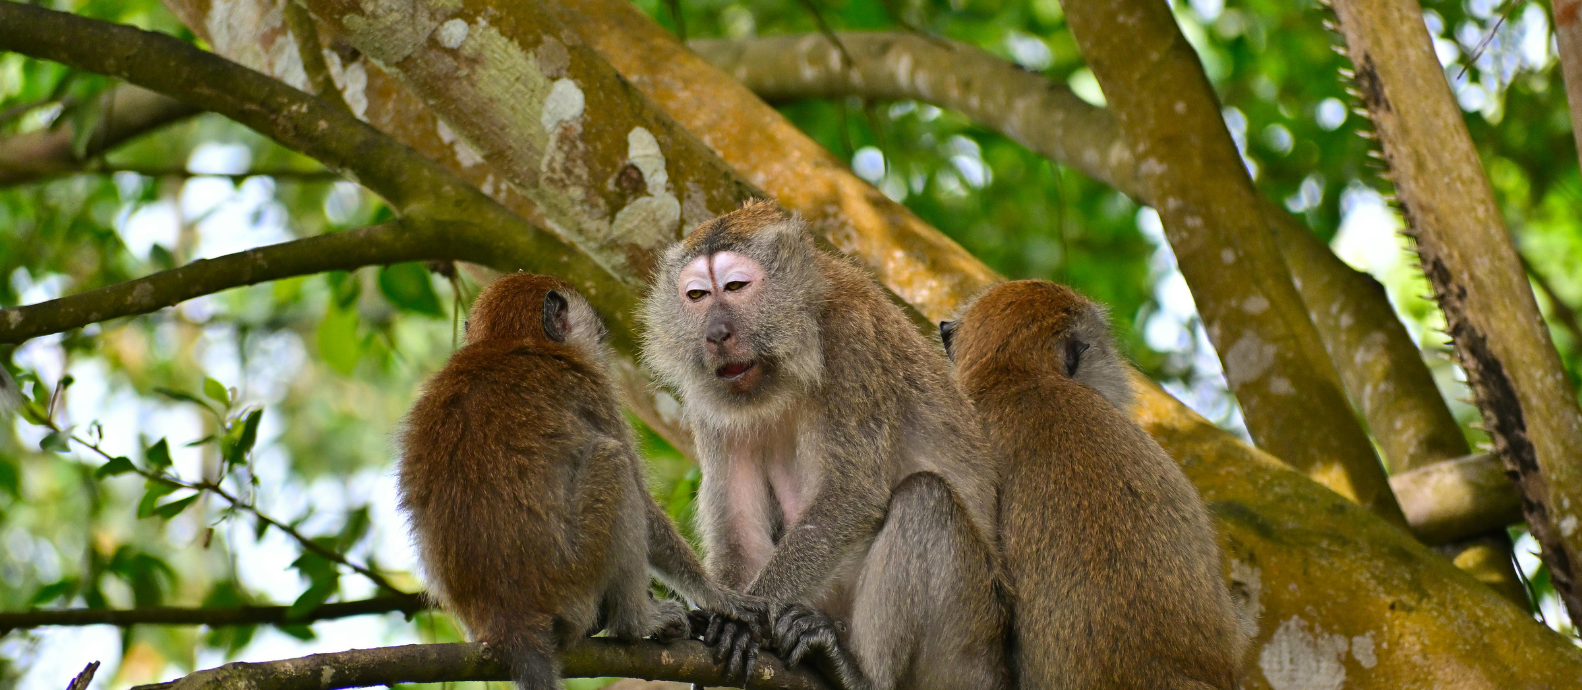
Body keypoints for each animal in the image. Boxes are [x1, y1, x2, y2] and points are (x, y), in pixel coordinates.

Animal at [398, 273, 762, 690]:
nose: (603, 332)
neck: (508, 344)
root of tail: (510, 621)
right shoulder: (593, 388)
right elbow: (642, 501)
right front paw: (717, 595)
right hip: (575, 580)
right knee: (613, 461)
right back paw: (636, 621)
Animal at [641, 201, 1010, 690]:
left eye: (736, 287)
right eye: (697, 296)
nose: (716, 333)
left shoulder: (851, 342)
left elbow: (852, 494)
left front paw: (747, 622)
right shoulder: (710, 402)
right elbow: (738, 525)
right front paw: (726, 612)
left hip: (969, 648)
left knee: (926, 500)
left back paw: (857, 672)